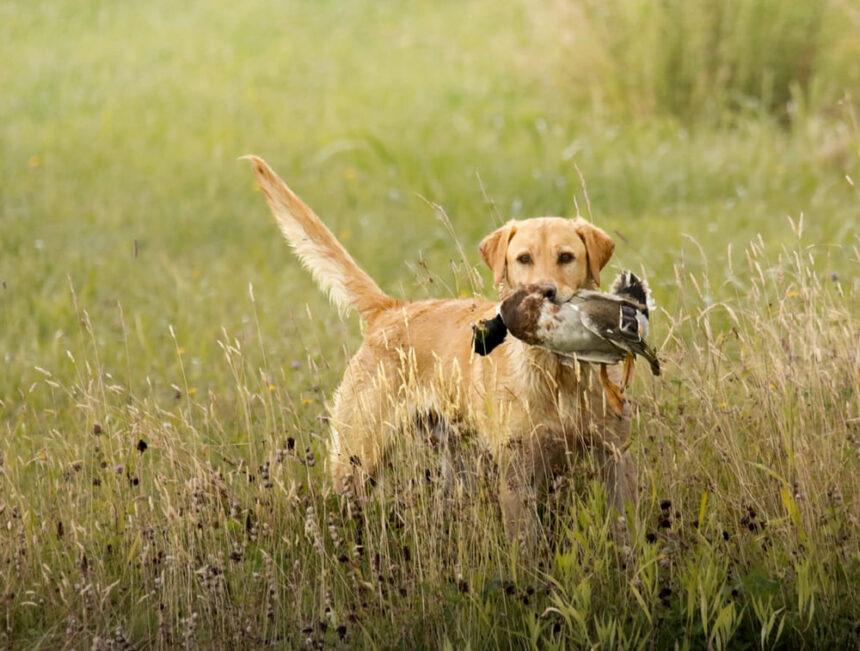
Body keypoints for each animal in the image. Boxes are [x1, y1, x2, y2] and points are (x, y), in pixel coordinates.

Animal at [245, 155, 636, 544]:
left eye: (566, 257)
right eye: (524, 258)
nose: (545, 293)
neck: (560, 374)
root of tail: (390, 309)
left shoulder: (615, 461)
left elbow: (623, 531)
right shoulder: (517, 476)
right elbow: (524, 547)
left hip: (454, 460)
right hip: (358, 459)